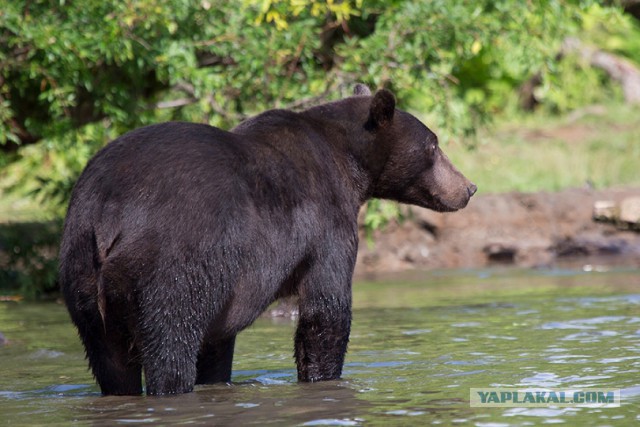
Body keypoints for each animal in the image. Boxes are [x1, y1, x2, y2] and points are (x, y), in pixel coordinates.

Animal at [58, 85, 476, 396]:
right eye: (434, 145)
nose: (469, 187)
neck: (348, 162)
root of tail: (111, 216)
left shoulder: (227, 287)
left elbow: (217, 343)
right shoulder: (325, 220)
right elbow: (326, 307)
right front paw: (324, 377)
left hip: (81, 272)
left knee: (109, 361)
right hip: (170, 263)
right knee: (170, 342)